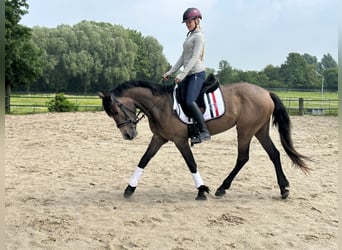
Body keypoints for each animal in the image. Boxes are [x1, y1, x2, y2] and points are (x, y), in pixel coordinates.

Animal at [99, 75, 310, 200]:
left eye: (115, 111)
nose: (128, 135)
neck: (160, 104)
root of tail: (266, 92)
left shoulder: (180, 140)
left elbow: (191, 163)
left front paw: (201, 190)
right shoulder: (159, 138)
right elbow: (144, 160)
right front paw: (129, 188)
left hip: (245, 130)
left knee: (243, 157)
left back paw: (222, 188)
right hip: (260, 130)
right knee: (274, 154)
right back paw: (283, 189)